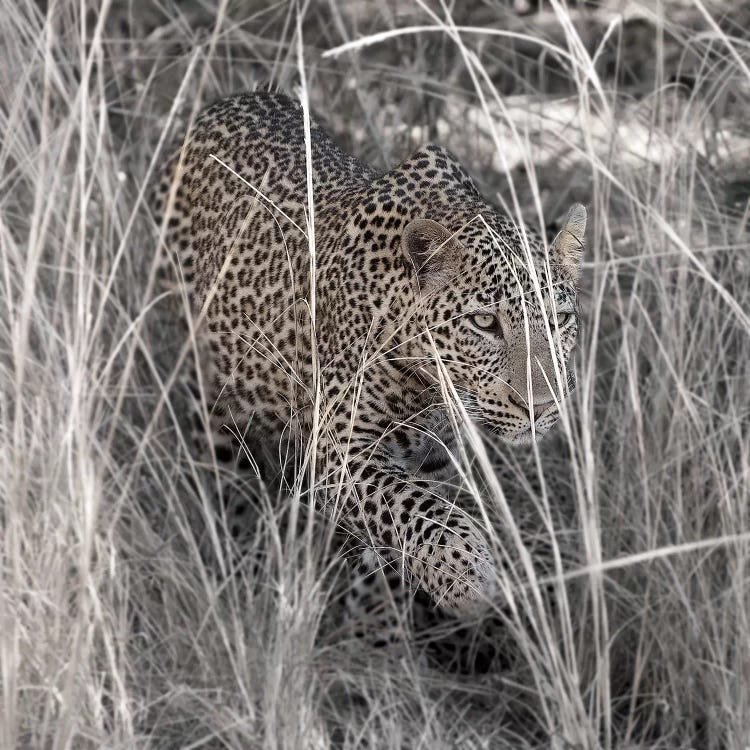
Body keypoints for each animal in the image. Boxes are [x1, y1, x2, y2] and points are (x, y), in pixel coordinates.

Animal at [153, 91, 588, 624]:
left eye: (560, 319)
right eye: (485, 323)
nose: (541, 407)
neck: (431, 390)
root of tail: (223, 103)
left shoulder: (434, 457)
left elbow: (406, 521)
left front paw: (384, 613)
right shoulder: (337, 450)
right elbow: (414, 507)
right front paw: (467, 575)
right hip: (205, 383)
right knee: (220, 468)